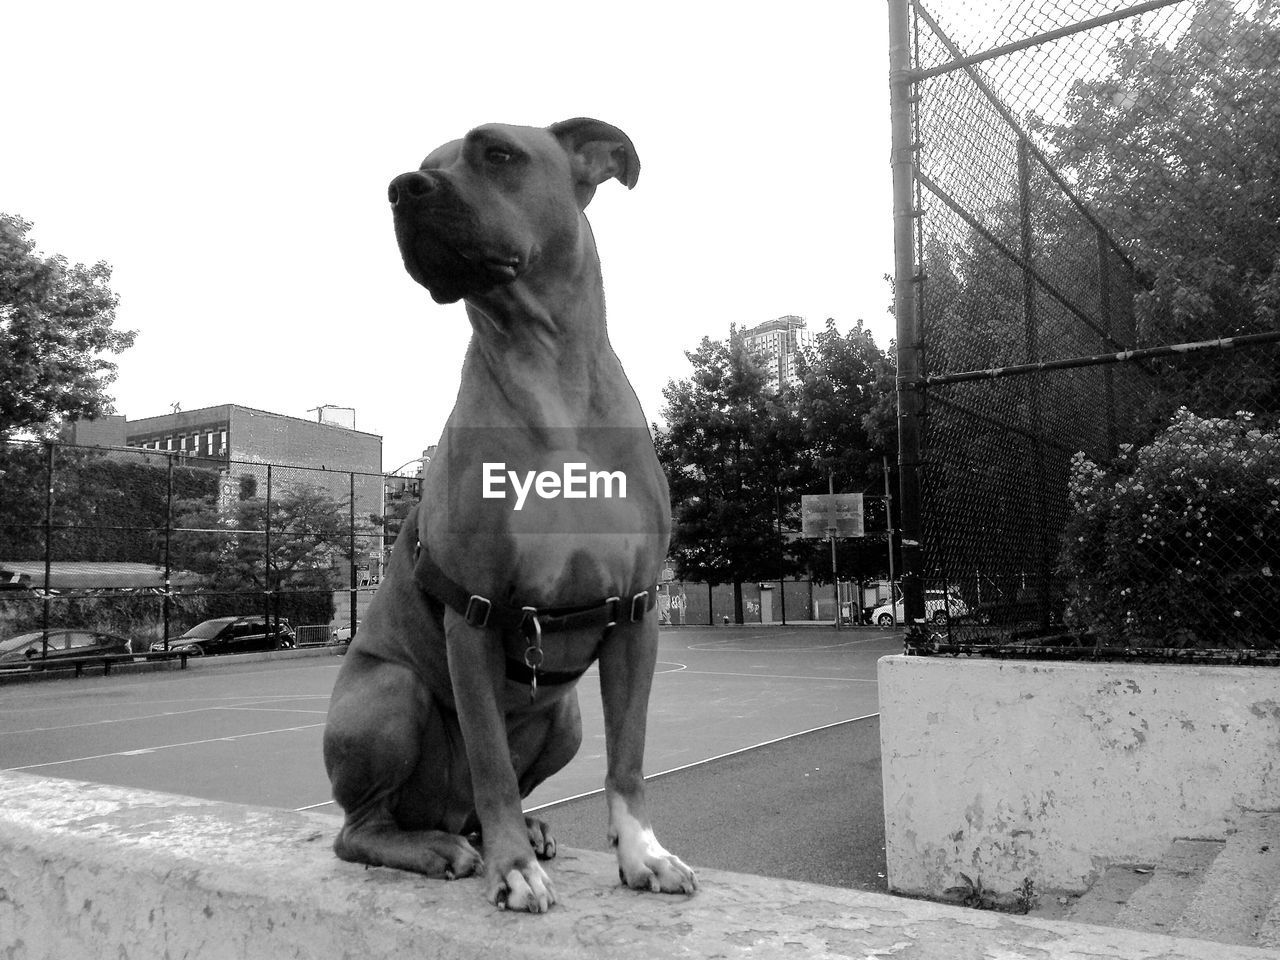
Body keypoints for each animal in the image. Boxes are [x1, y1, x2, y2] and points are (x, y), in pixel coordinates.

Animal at [325, 120, 696, 916]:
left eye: (497, 152)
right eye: (424, 166)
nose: (402, 187)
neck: (546, 363)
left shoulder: (636, 614)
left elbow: (628, 760)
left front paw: (642, 854)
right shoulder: (474, 612)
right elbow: (491, 762)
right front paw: (511, 869)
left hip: (565, 720)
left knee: (478, 796)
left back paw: (525, 826)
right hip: (389, 694)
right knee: (364, 826)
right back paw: (440, 846)